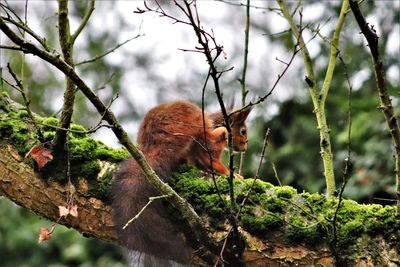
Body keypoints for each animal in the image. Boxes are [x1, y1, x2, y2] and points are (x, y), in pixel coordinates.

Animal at [111, 101, 252, 266]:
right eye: (243, 131)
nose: (244, 148)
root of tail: (152, 143)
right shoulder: (205, 140)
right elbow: (212, 158)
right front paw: (232, 174)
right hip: (189, 130)